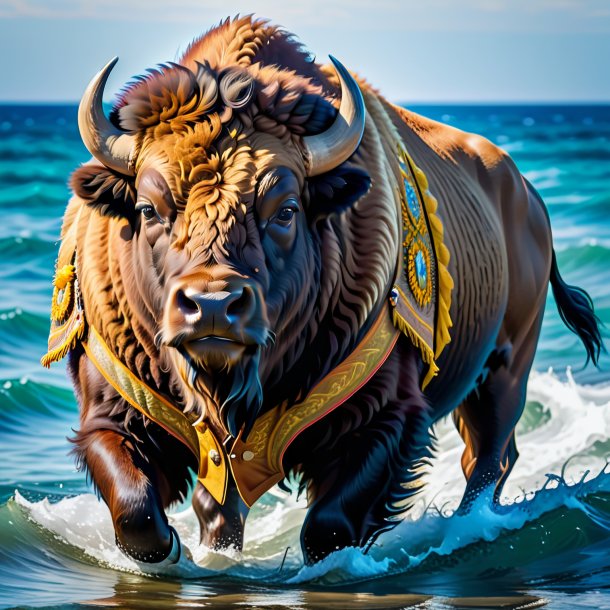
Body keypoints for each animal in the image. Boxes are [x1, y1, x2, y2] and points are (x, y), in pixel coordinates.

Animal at [41, 15, 600, 564]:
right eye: (148, 208)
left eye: (285, 210)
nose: (213, 305)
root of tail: (528, 197)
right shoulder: (117, 411)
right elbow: (140, 506)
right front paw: (183, 552)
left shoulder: (383, 418)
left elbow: (329, 527)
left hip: (504, 370)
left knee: (488, 456)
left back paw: (468, 526)